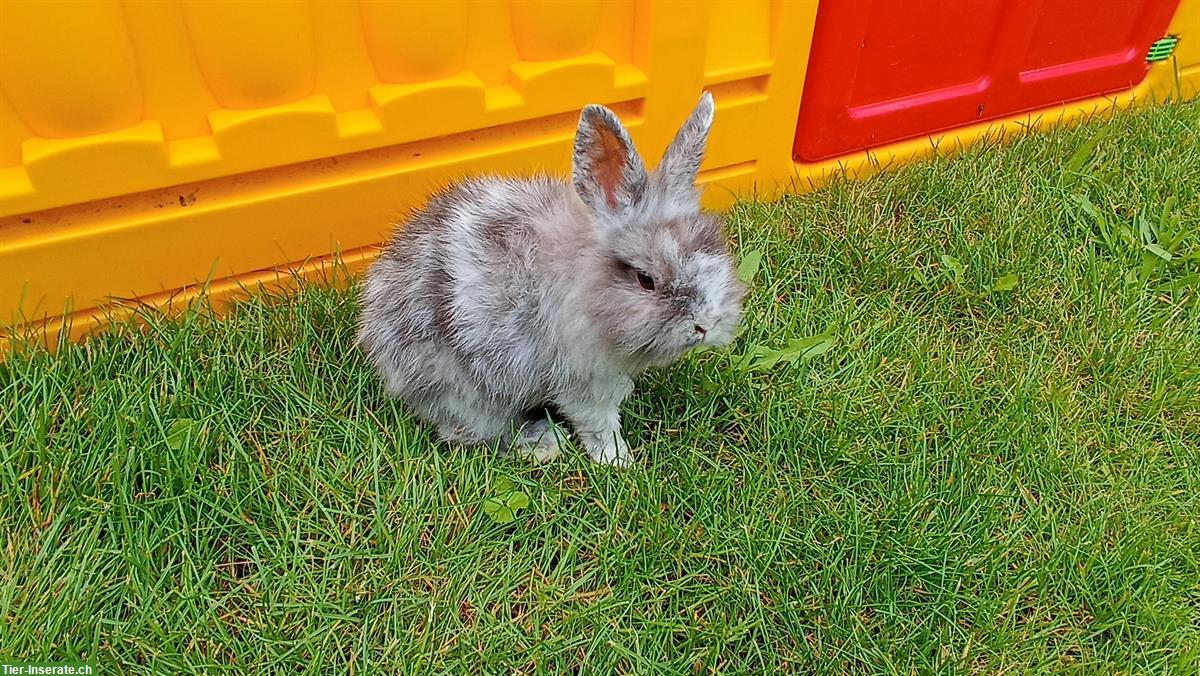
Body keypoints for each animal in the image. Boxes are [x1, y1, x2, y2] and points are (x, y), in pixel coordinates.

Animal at [355, 92, 744, 468]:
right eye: (646, 279)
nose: (705, 324)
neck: (585, 283)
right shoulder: (582, 379)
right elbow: (598, 423)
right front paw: (619, 462)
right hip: (467, 392)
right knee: (470, 432)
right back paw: (544, 442)